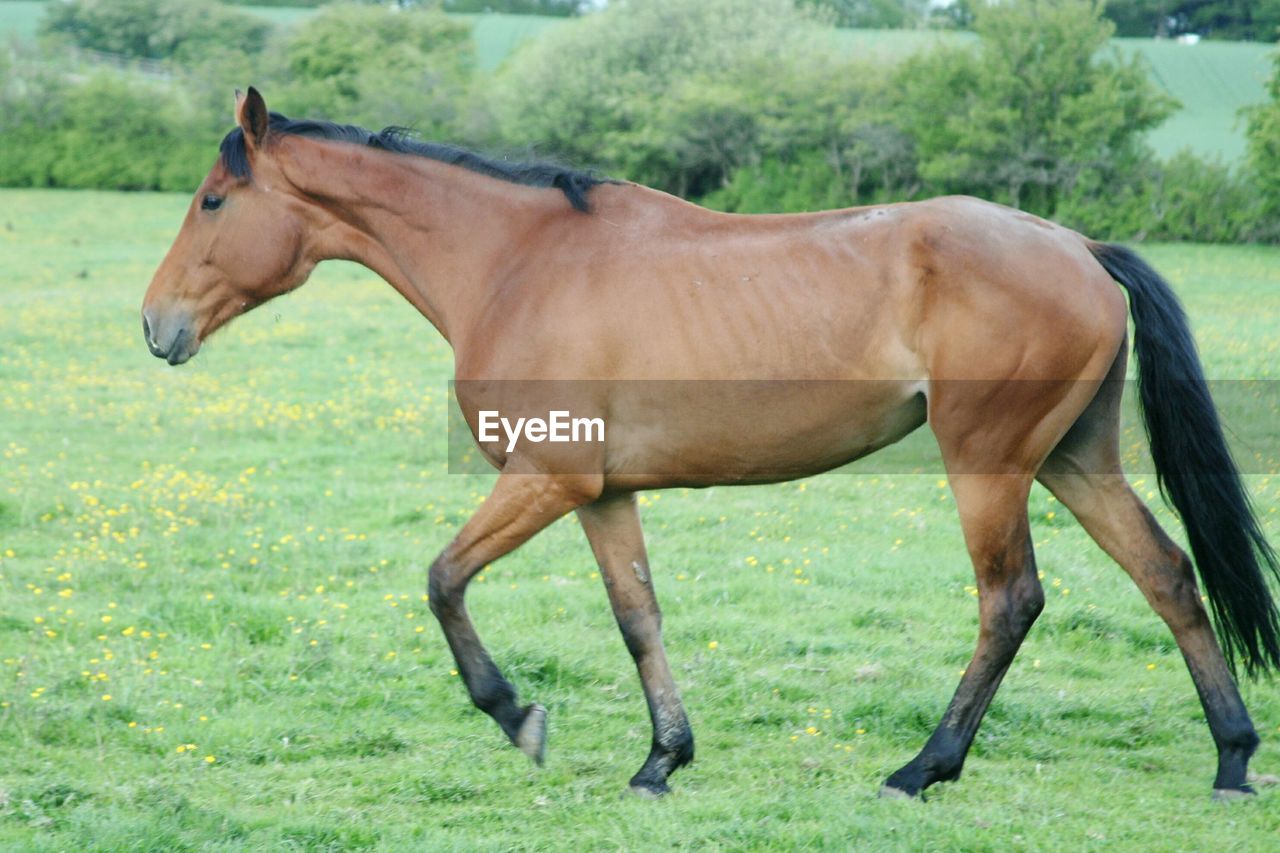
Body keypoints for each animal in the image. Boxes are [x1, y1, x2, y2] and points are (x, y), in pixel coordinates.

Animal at [145, 91, 1274, 799]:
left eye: (213, 201)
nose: (157, 326)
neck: (516, 262)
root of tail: (1074, 243)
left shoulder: (544, 477)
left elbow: (442, 580)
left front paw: (516, 714)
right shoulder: (600, 491)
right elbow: (637, 617)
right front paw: (661, 758)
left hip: (989, 464)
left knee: (1011, 602)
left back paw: (925, 767)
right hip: (1074, 458)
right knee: (1167, 575)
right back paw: (1230, 758)